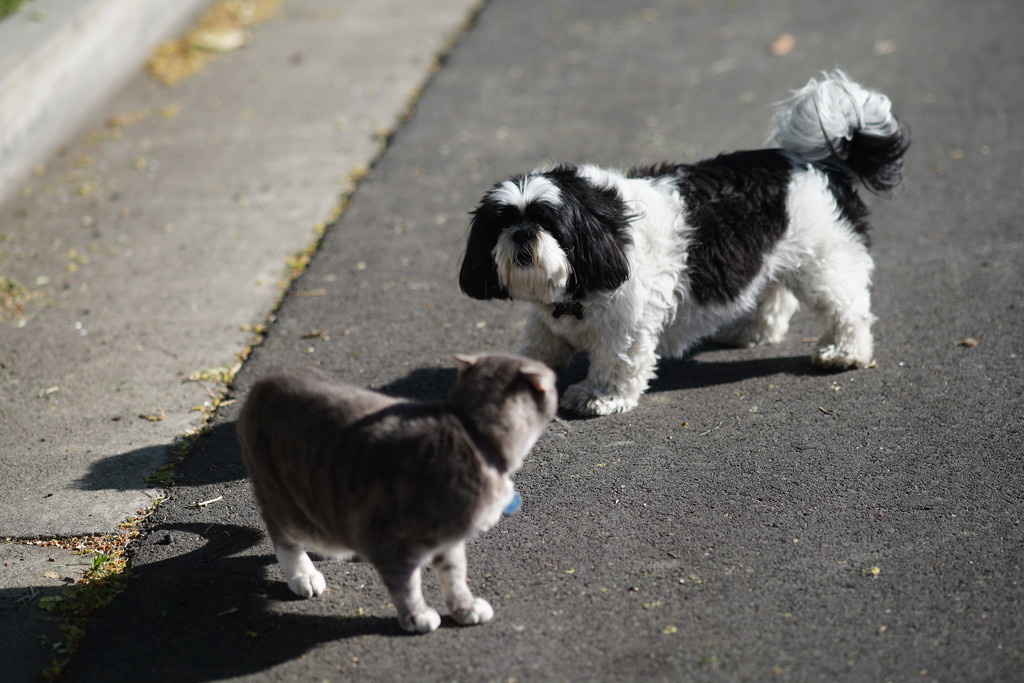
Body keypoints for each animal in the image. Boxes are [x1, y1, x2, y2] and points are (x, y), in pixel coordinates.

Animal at [235, 356, 557, 634]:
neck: (473, 436)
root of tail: (268, 377)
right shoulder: (390, 543)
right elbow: (406, 586)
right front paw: (417, 616)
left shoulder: (448, 540)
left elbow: (455, 573)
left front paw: (464, 607)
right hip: (285, 497)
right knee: (282, 534)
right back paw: (303, 573)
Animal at [460, 72, 909, 419]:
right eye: (502, 223)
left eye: (548, 222)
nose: (522, 233)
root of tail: (821, 163)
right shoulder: (546, 324)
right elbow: (540, 345)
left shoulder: (628, 325)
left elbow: (616, 361)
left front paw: (600, 395)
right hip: (774, 255)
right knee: (773, 294)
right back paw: (751, 330)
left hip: (823, 263)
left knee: (848, 309)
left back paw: (844, 352)